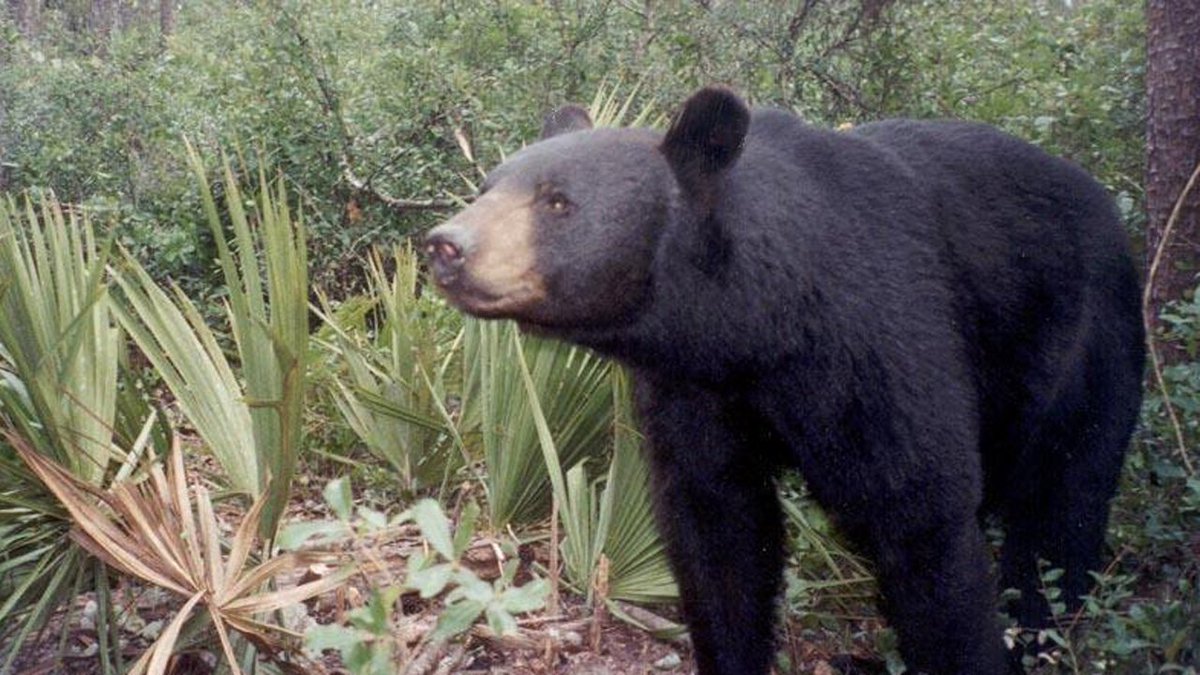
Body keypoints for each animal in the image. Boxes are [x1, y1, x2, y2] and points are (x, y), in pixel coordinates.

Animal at [423, 87, 1145, 675]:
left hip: (1083, 343)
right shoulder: (694, 389)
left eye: (557, 201)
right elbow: (718, 528)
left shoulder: (883, 338)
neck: (758, 326)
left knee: (1061, 509)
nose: (446, 245)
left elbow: (924, 513)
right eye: (487, 186)